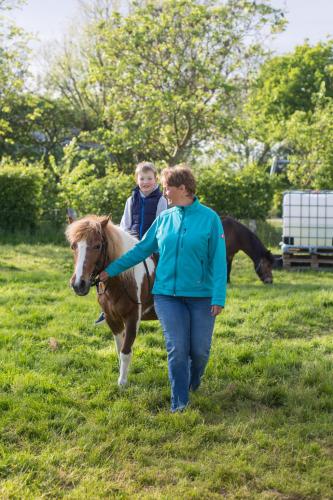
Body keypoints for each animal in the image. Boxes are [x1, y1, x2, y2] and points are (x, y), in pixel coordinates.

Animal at [67, 215, 158, 386]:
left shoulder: (132, 319)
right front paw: (122, 375)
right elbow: (119, 349)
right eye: (73, 246)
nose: (79, 284)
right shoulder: (112, 319)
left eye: (97, 246)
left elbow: (125, 351)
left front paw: (122, 383)